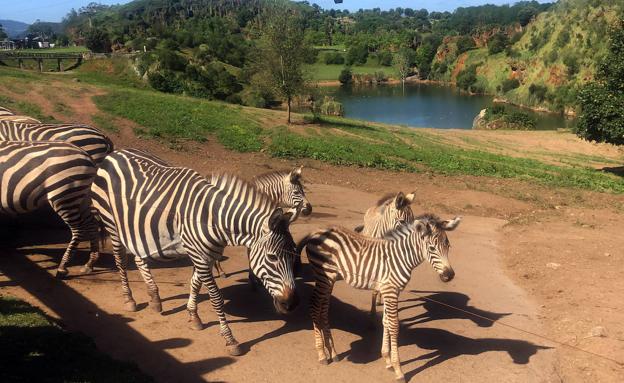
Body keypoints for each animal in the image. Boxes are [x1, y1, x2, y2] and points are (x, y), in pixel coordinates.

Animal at [0, 141, 98, 280]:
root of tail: (87, 155)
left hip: (64, 196)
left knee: (78, 229)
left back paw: (62, 268)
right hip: (81, 197)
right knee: (92, 224)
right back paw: (90, 264)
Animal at [89, 148, 300, 356]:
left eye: (293, 257)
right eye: (272, 257)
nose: (291, 304)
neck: (214, 219)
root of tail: (114, 154)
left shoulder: (206, 256)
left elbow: (195, 284)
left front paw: (193, 316)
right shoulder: (201, 258)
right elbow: (216, 298)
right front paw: (229, 339)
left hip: (136, 228)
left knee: (140, 259)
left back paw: (155, 298)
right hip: (112, 224)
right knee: (121, 262)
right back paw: (129, 299)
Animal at [298, 214, 458, 382]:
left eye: (448, 246)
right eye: (431, 248)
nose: (449, 276)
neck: (400, 257)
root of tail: (316, 231)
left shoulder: (390, 291)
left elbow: (386, 322)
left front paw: (387, 360)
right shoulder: (390, 290)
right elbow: (394, 325)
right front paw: (398, 369)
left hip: (330, 279)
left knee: (323, 309)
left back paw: (332, 352)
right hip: (324, 275)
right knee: (314, 306)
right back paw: (322, 354)